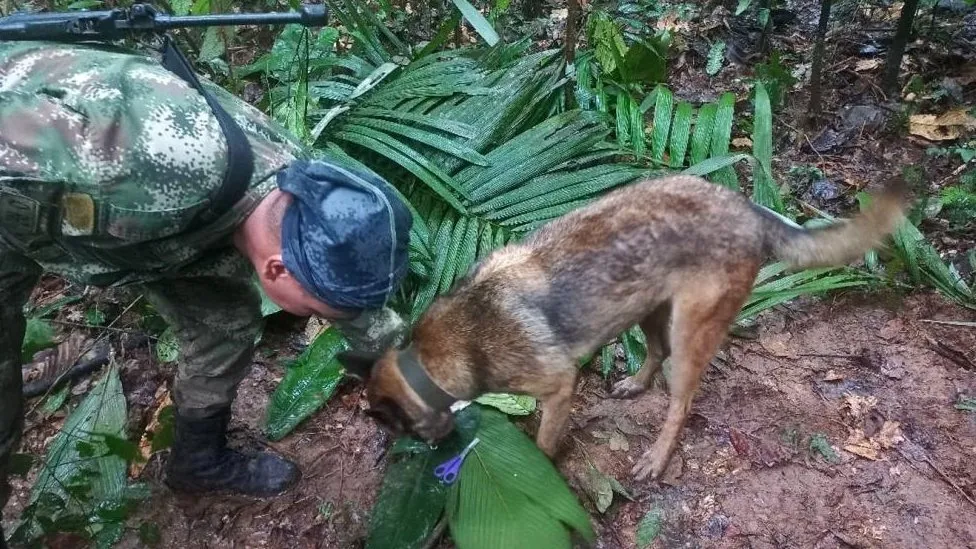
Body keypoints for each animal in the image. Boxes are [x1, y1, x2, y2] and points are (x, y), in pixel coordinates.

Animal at [340, 176, 912, 480]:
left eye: (398, 430)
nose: (432, 455)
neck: (433, 357)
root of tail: (746, 207)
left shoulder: (558, 386)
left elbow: (544, 441)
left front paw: (539, 469)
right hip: (647, 308)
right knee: (653, 354)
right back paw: (635, 384)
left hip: (689, 332)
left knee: (681, 401)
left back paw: (656, 457)